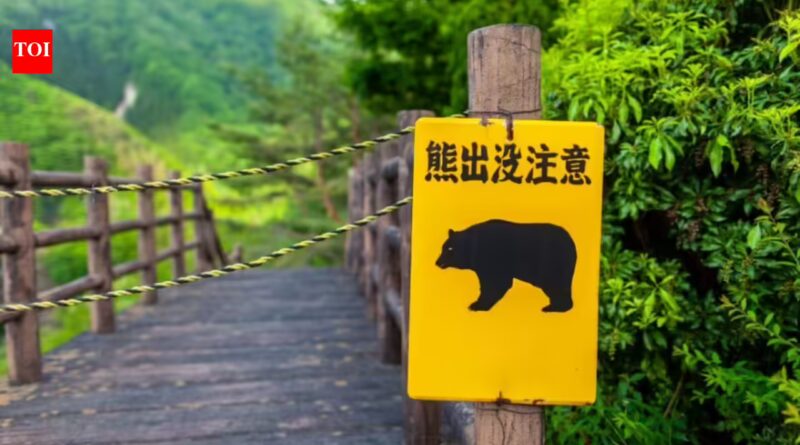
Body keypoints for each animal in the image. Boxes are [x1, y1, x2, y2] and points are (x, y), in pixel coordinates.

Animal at [435, 220, 577, 312]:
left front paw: (477, 305)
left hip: (551, 263)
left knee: (556, 285)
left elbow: (496, 283)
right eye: (443, 247)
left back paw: (555, 307)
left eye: (450, 248)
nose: (437, 262)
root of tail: (571, 242)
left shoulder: (494, 260)